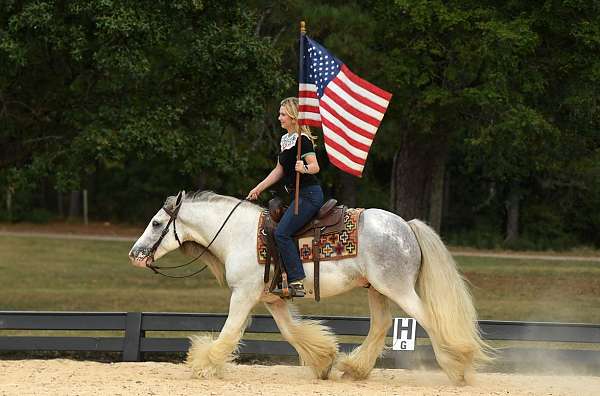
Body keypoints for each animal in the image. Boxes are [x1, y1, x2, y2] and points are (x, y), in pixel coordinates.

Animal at [129, 191, 490, 384]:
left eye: (157, 223)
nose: (135, 254)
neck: (237, 234)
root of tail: (406, 226)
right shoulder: (272, 299)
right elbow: (292, 332)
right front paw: (323, 360)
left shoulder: (244, 294)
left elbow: (230, 330)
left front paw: (204, 364)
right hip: (376, 289)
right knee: (381, 325)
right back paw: (354, 368)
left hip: (397, 288)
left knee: (428, 319)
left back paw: (458, 367)